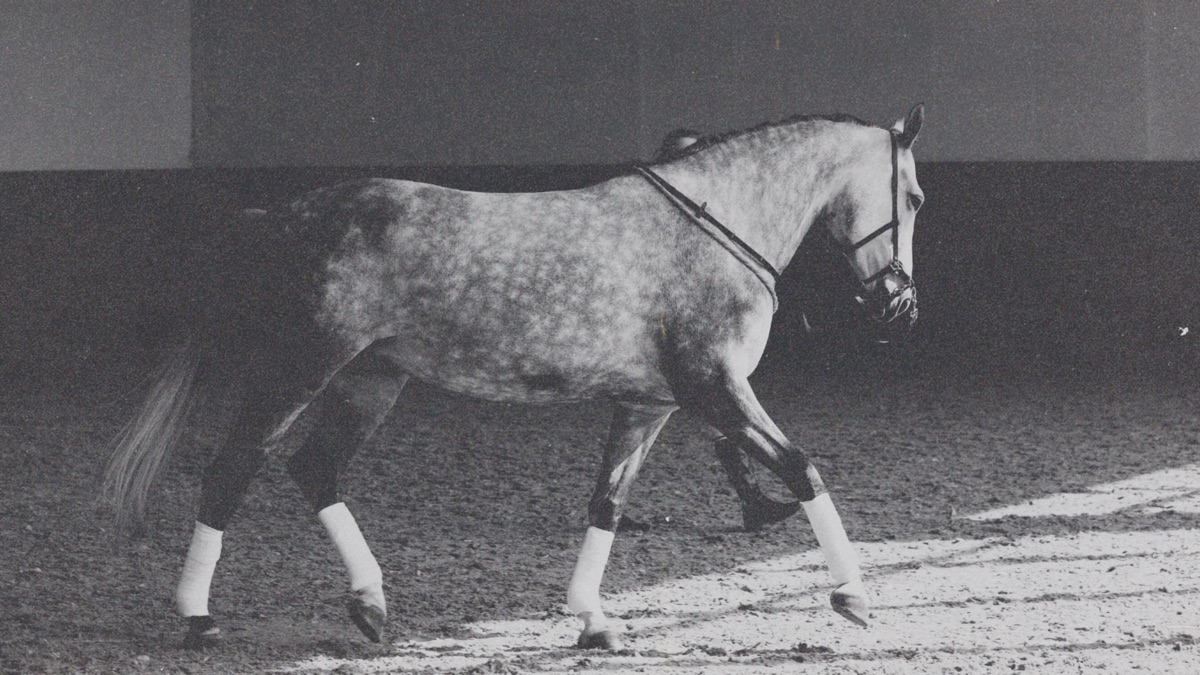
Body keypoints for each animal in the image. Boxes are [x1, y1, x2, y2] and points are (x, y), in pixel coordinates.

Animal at [103, 105, 924, 651]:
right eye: (913, 196)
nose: (899, 304)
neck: (715, 226)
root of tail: (284, 215)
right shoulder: (714, 389)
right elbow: (803, 466)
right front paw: (853, 595)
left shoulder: (650, 404)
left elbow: (608, 502)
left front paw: (593, 619)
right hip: (298, 370)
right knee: (232, 469)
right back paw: (199, 618)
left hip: (370, 381)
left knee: (314, 469)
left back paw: (370, 606)